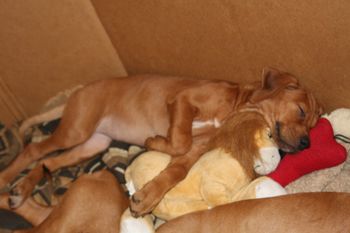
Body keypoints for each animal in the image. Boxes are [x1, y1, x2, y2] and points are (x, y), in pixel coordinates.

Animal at [0, 67, 322, 217]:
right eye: (301, 111)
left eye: (313, 124)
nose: (306, 143)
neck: (233, 107)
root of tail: (78, 90)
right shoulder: (182, 101)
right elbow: (178, 140)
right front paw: (154, 141)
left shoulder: (195, 150)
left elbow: (176, 170)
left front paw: (147, 197)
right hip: (76, 129)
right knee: (34, 149)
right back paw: (7, 178)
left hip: (94, 144)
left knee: (48, 161)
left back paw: (21, 190)